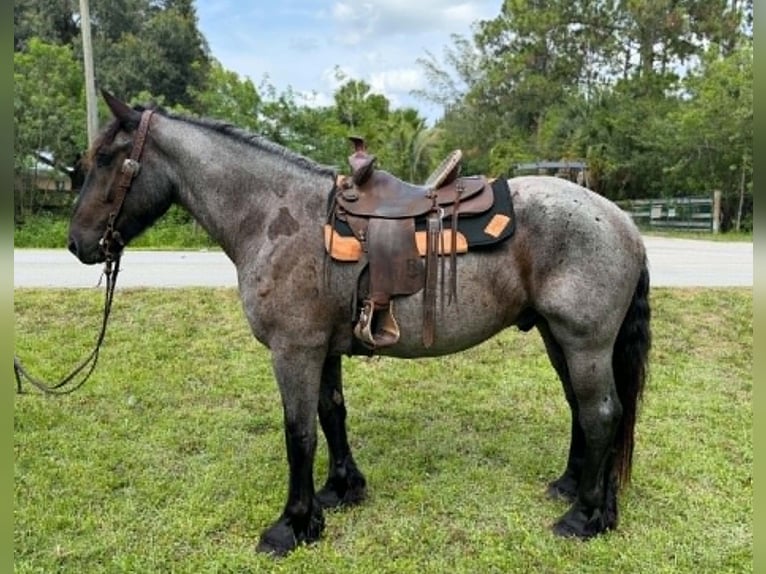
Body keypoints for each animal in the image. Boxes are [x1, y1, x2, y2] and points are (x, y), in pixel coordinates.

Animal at [68, 91, 651, 556]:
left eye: (107, 159)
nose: (77, 243)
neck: (276, 216)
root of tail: (622, 220)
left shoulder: (294, 350)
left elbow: (299, 432)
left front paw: (293, 525)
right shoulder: (321, 348)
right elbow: (331, 414)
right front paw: (341, 491)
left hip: (584, 341)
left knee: (601, 412)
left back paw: (584, 516)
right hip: (558, 337)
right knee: (582, 408)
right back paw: (572, 488)